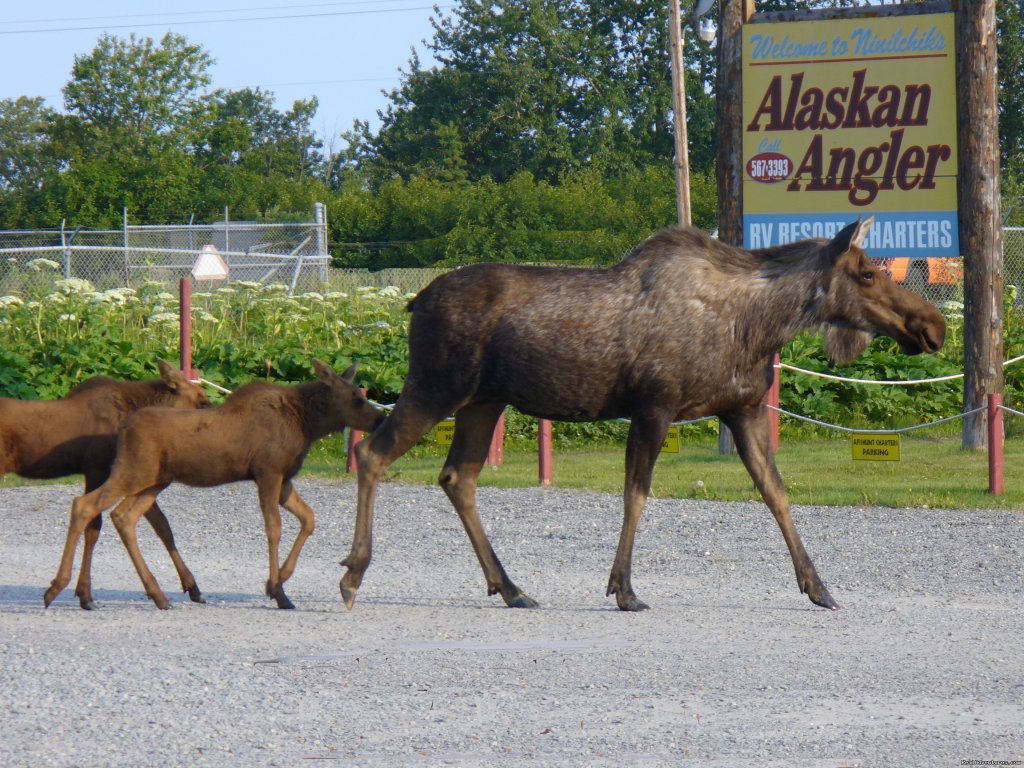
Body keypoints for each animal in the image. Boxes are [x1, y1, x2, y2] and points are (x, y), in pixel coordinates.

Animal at [0, 362, 210, 614]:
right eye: (201, 400)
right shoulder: (97, 468)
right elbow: (93, 528)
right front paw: (81, 593)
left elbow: (163, 527)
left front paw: (193, 587)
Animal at [41, 362, 382, 614]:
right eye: (357, 398)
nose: (380, 418)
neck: (308, 424)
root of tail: (124, 428)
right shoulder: (268, 473)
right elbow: (274, 528)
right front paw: (278, 591)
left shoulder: (284, 479)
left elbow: (309, 518)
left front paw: (279, 580)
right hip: (132, 473)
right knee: (85, 505)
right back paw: (56, 588)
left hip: (153, 481)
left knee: (124, 516)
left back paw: (158, 594)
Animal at [342, 218, 942, 614]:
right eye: (867, 273)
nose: (933, 325)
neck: (761, 327)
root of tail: (412, 301)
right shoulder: (655, 406)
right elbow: (637, 494)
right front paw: (624, 589)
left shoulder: (743, 409)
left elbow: (777, 493)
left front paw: (818, 587)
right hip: (436, 385)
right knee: (372, 451)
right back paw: (352, 574)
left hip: (483, 400)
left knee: (457, 476)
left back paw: (510, 587)